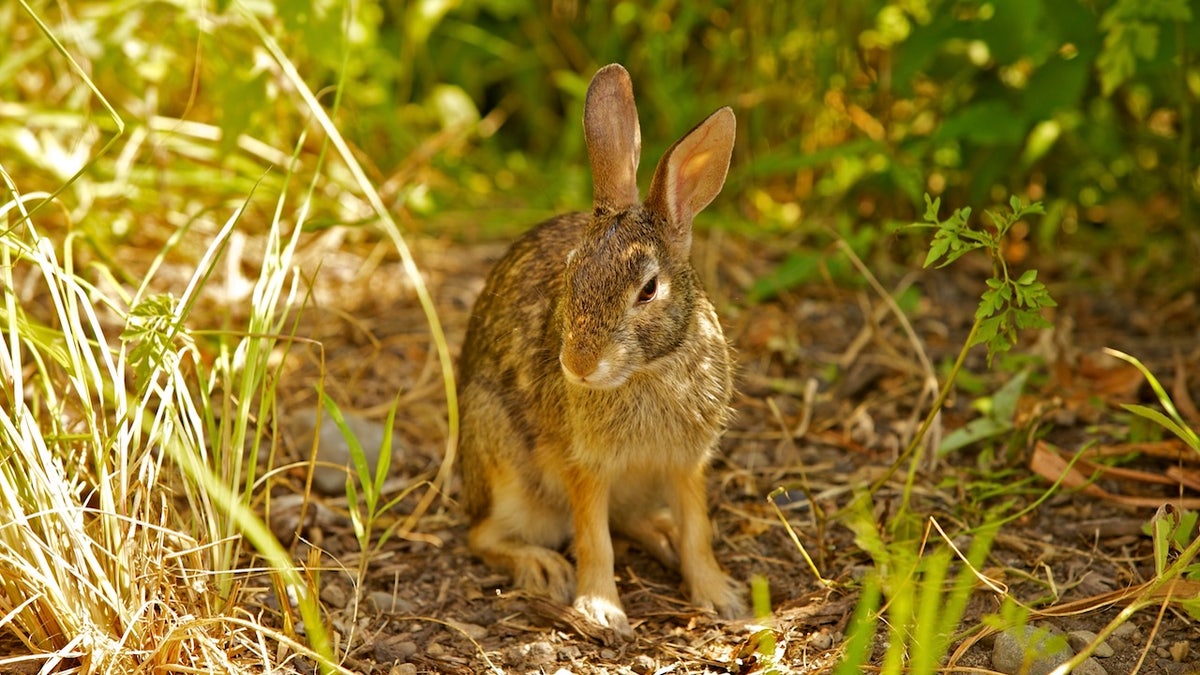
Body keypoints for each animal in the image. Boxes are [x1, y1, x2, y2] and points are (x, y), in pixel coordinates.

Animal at [457, 63, 746, 638]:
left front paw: (719, 596)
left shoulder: (686, 464)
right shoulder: (584, 466)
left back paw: (662, 536)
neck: (650, 370)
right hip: (505, 469)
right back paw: (543, 567)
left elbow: (698, 530)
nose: (578, 366)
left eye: (648, 290)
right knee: (484, 536)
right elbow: (594, 538)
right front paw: (601, 610)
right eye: (571, 272)